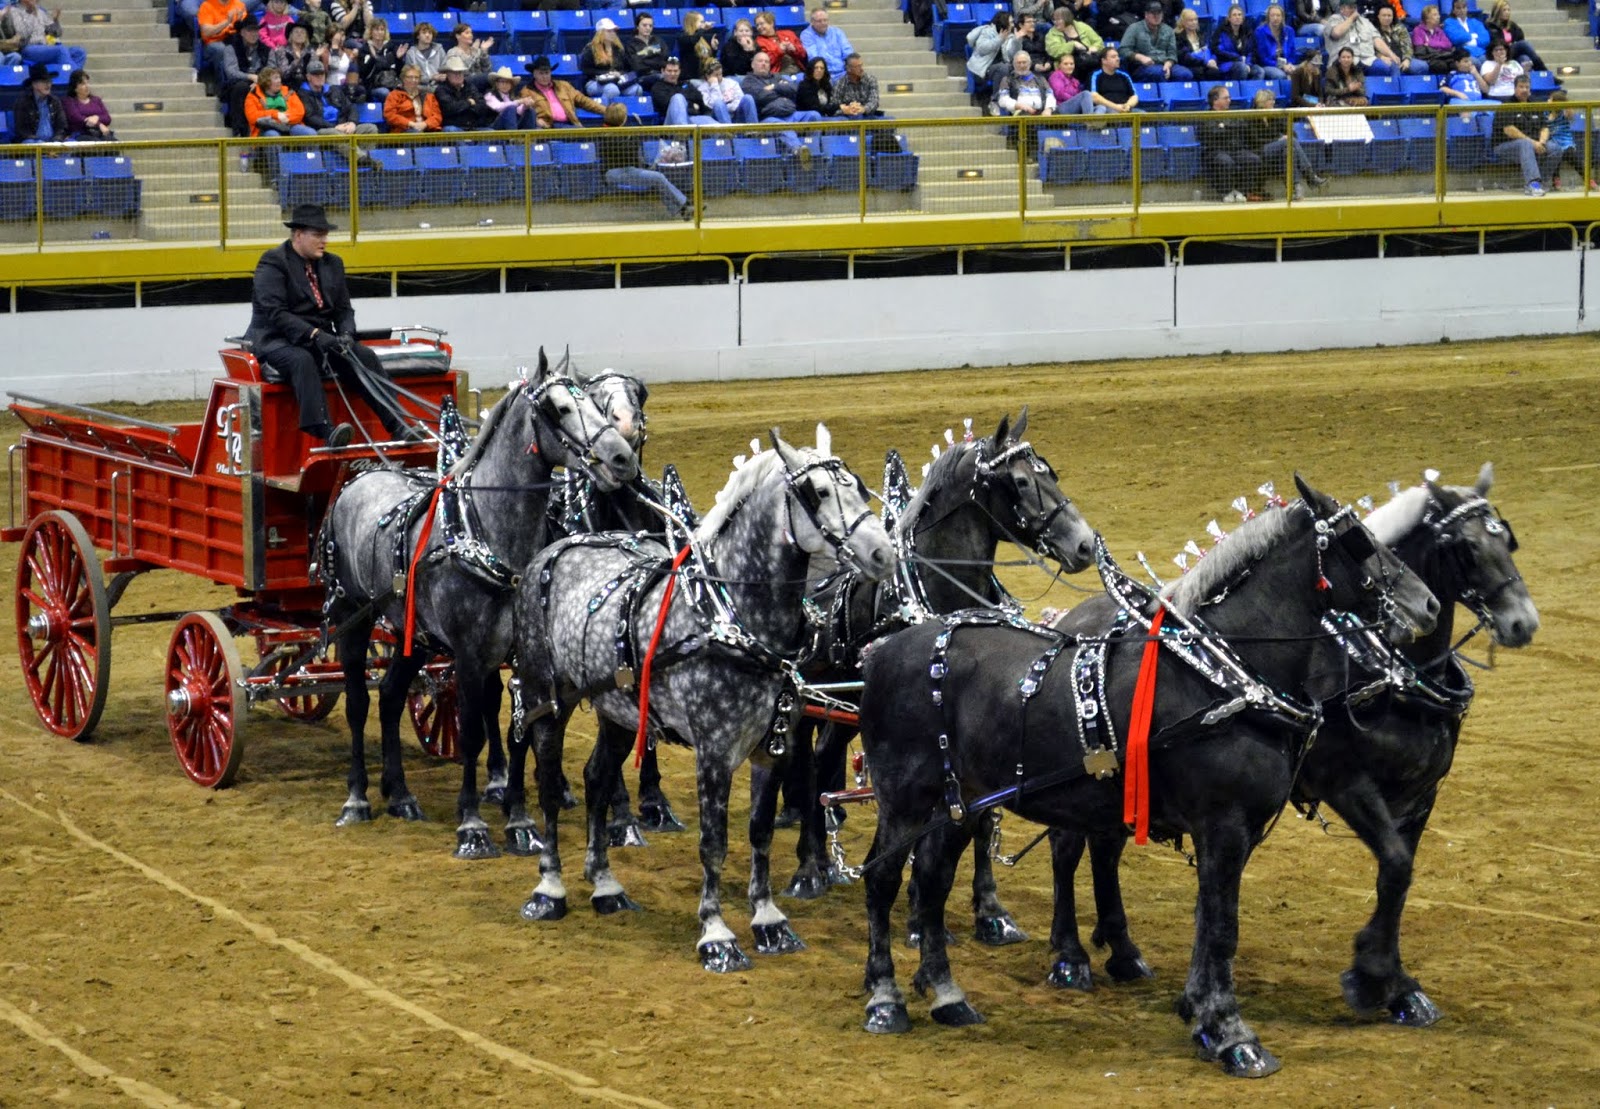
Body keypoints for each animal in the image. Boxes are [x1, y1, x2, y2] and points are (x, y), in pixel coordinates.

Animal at [320, 351, 640, 859]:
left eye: (591, 401)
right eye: (558, 409)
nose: (621, 457)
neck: (488, 533)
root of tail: (361, 476)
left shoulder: (520, 655)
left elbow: (519, 731)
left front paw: (520, 821)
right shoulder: (469, 654)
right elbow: (470, 730)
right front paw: (472, 825)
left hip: (414, 635)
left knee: (389, 697)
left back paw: (401, 794)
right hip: (354, 617)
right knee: (356, 700)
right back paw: (358, 798)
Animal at [511, 426, 895, 972]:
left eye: (859, 487)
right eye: (817, 492)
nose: (884, 553)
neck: (733, 618)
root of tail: (551, 551)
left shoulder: (772, 745)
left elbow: (759, 831)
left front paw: (769, 920)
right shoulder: (713, 751)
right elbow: (714, 842)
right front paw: (716, 933)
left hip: (619, 711)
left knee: (597, 778)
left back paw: (606, 885)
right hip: (546, 698)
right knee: (547, 783)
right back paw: (549, 888)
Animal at [762, 411, 1098, 952]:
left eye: (1051, 474)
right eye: (1021, 482)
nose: (1085, 544)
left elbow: (983, 819)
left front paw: (990, 910)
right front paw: (921, 917)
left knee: (824, 758)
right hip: (805, 698)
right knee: (807, 764)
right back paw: (810, 868)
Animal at [854, 476, 1440, 1078]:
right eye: (1360, 540)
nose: (1428, 603)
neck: (1225, 679)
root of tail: (885, 649)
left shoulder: (1237, 831)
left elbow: (1210, 919)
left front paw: (1202, 1012)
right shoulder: (1224, 825)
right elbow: (1223, 927)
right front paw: (1232, 1033)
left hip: (958, 803)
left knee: (932, 881)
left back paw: (947, 994)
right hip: (904, 797)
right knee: (882, 879)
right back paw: (886, 999)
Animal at [1041, 465, 1539, 1023]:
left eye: (1507, 540)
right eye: (1465, 548)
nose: (1522, 622)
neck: (1389, 671)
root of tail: (1068, 619)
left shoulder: (1420, 797)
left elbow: (1398, 876)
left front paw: (1395, 982)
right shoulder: (1345, 782)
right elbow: (1393, 863)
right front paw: (1371, 977)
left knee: (1105, 849)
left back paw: (1123, 949)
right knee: (1067, 848)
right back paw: (1070, 955)